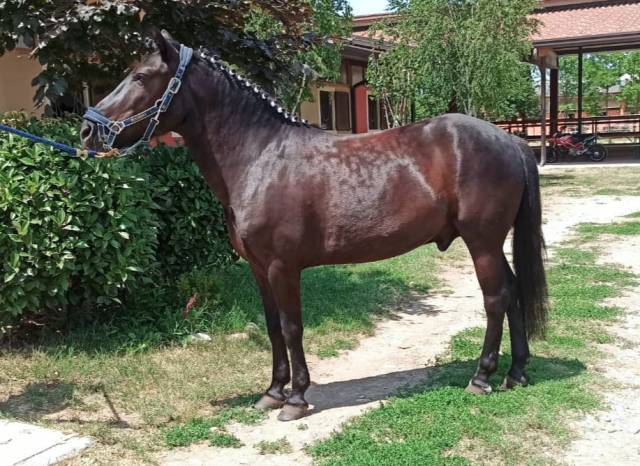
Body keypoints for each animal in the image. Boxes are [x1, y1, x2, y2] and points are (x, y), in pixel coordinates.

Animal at [81, 30, 548, 422]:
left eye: (141, 76)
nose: (87, 130)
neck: (260, 157)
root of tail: (509, 140)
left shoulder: (283, 267)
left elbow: (291, 327)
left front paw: (296, 398)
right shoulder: (259, 268)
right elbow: (272, 328)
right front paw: (272, 392)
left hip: (482, 242)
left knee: (496, 298)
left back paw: (482, 377)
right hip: (491, 244)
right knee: (513, 291)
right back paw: (517, 372)